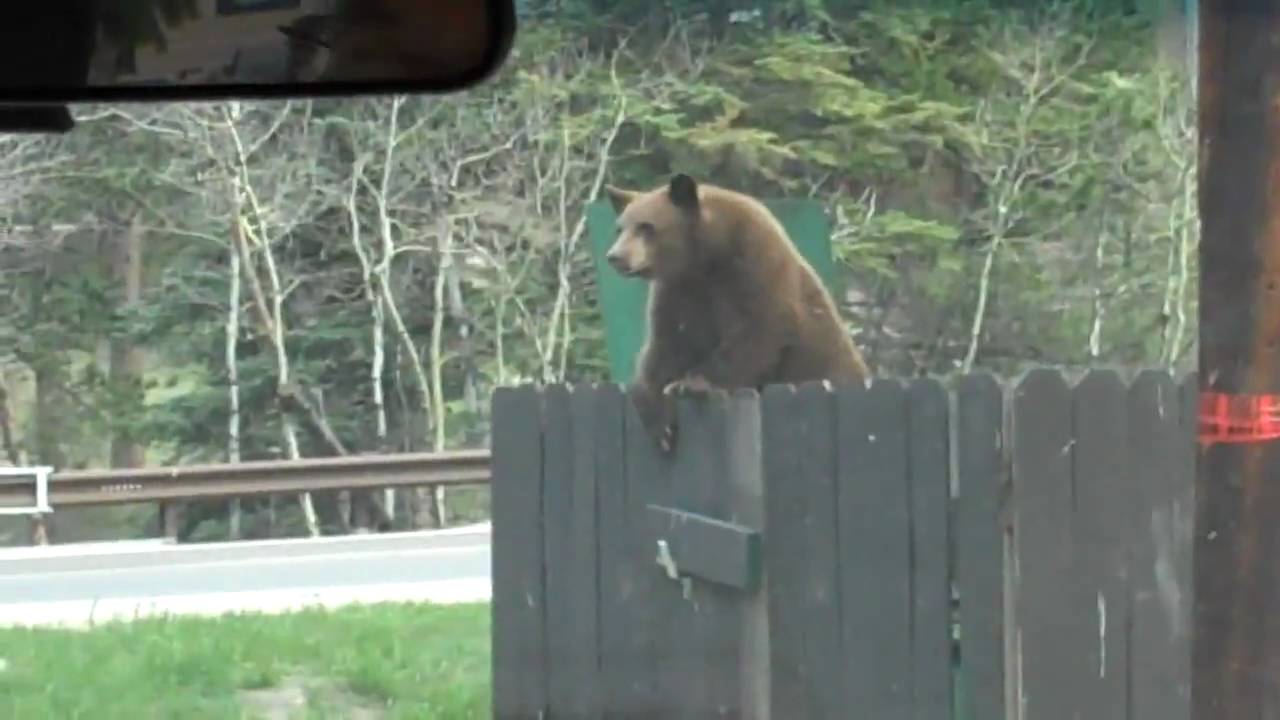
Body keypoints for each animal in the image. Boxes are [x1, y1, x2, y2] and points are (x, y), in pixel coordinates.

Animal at [602, 173, 871, 455]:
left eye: (646, 226)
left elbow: (759, 329)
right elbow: (667, 343)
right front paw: (660, 421)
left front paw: (691, 383)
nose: (615, 256)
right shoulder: (678, 290)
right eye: (619, 229)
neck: (706, 258)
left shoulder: (755, 263)